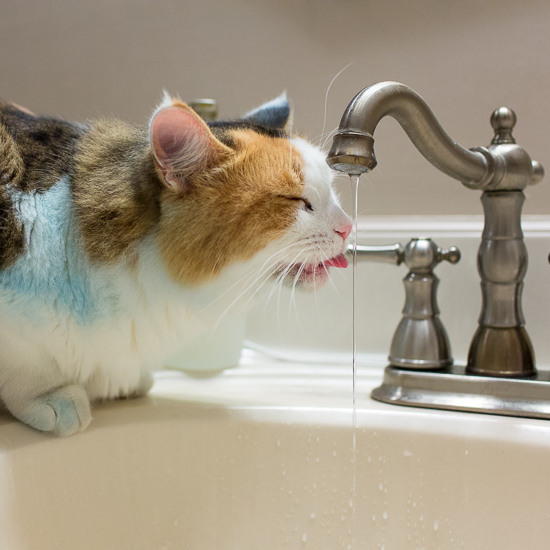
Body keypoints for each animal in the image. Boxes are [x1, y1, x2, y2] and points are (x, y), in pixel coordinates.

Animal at [0, 91, 354, 436]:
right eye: (298, 202)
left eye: (331, 191)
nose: (349, 227)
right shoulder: (16, 323)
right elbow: (29, 367)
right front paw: (52, 396)